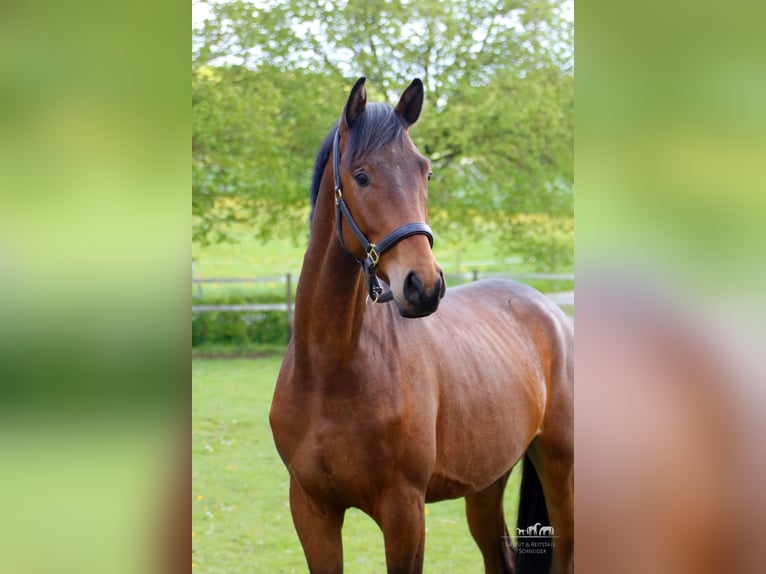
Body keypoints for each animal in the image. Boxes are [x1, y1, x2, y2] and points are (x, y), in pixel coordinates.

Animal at [270, 77, 576, 574]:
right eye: (361, 175)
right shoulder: (312, 508)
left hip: (559, 469)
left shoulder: (404, 511)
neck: (331, 371)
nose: (425, 285)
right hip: (486, 485)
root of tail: (551, 312)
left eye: (425, 173)